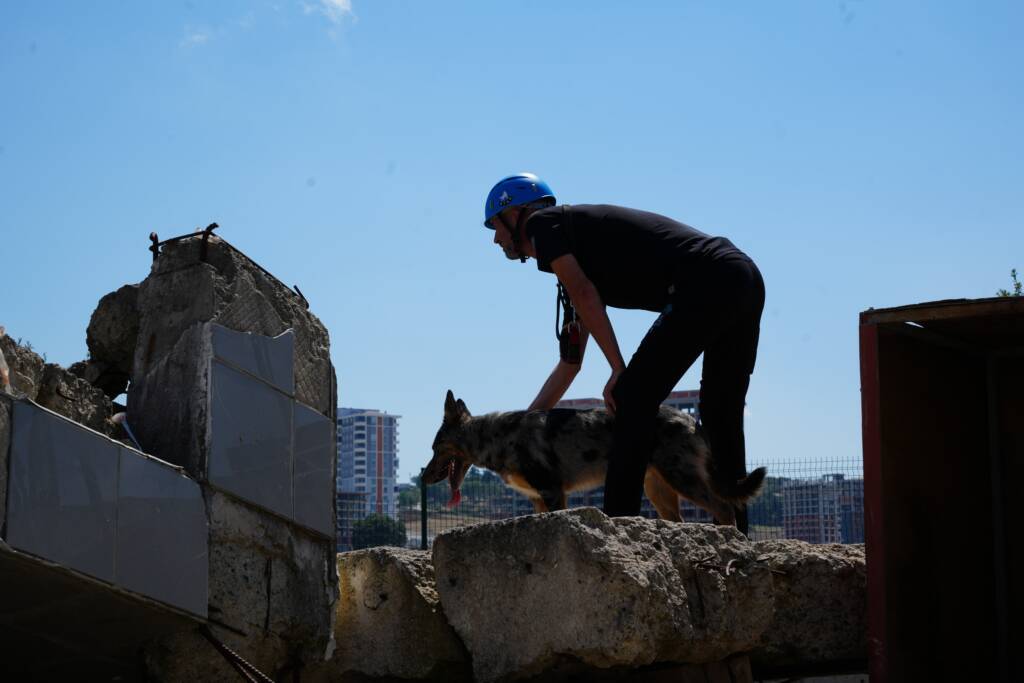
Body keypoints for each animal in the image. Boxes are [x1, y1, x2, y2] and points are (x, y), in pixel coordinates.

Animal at [419, 389, 765, 524]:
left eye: (436, 449)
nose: (422, 477)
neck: (499, 436)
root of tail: (693, 420)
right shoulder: (539, 500)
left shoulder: (552, 493)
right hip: (658, 490)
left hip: (683, 479)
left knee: (724, 507)